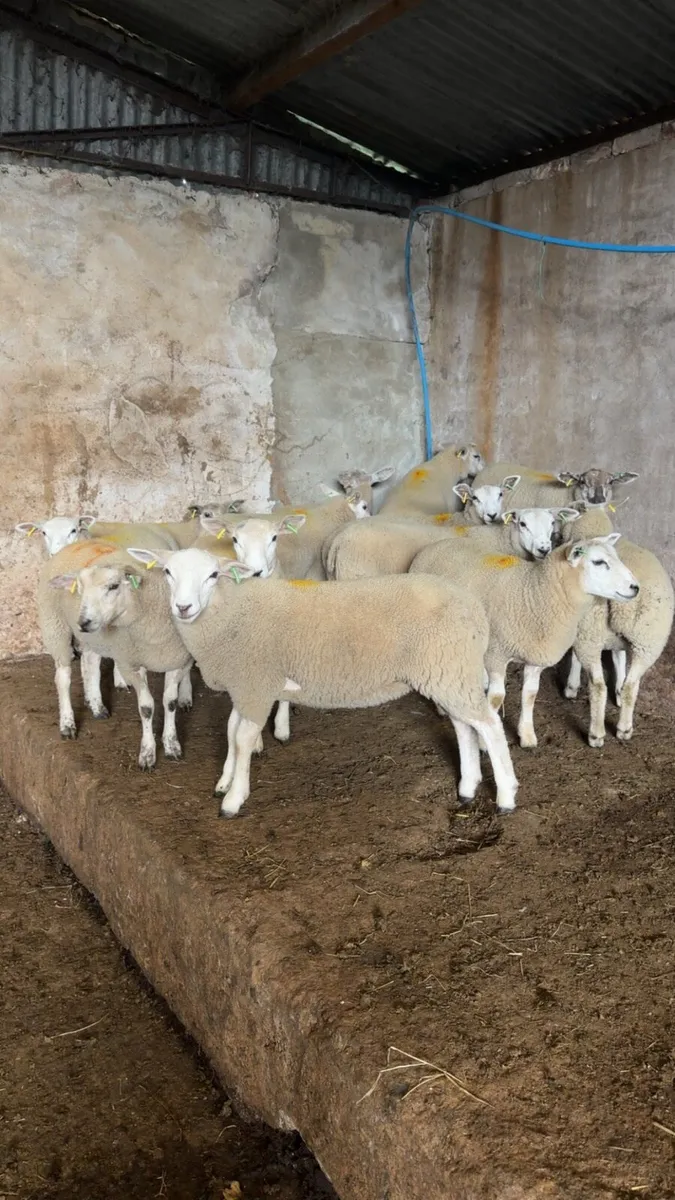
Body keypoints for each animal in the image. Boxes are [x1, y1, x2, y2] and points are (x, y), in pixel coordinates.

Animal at [39, 538, 193, 769]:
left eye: (113, 586)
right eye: (80, 588)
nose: (83, 622)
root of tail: (77, 543)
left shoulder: (176, 659)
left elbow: (170, 702)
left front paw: (172, 745)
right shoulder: (131, 663)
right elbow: (146, 707)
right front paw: (147, 753)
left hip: (95, 635)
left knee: (90, 662)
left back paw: (96, 705)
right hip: (55, 626)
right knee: (63, 678)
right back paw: (67, 724)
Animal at [126, 544, 519, 816]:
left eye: (212, 575)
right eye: (167, 572)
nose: (183, 608)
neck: (227, 616)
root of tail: (475, 607)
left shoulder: (255, 684)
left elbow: (241, 739)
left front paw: (234, 799)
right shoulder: (246, 685)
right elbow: (230, 731)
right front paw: (224, 782)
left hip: (450, 669)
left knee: (489, 725)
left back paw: (506, 796)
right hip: (448, 672)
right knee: (464, 725)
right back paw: (468, 786)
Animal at [409, 534, 640, 751]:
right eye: (598, 562)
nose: (635, 587)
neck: (534, 593)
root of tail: (434, 545)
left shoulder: (535, 657)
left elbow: (530, 695)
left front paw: (527, 735)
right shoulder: (496, 654)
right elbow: (496, 698)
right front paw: (484, 744)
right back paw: (441, 707)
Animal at [557, 509, 674, 747]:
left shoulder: (580, 627)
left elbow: (575, 655)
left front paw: (571, 687)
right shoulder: (618, 638)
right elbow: (619, 657)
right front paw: (618, 690)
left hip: (591, 635)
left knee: (598, 686)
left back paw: (596, 735)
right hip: (647, 641)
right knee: (632, 684)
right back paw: (624, 728)